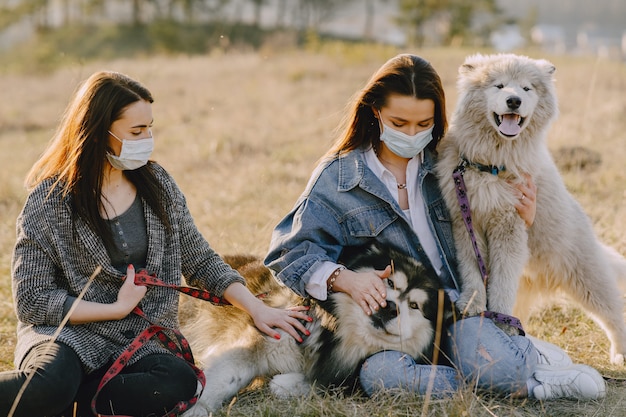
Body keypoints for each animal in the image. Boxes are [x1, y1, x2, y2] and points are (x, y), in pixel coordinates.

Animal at [180, 240, 454, 412]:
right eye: (389, 281)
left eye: (415, 306)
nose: (389, 307)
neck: (338, 337)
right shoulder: (271, 332)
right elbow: (224, 378)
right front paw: (196, 408)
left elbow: (319, 385)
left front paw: (286, 383)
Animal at [434, 52, 624, 364]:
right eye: (499, 86)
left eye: (526, 89)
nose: (514, 101)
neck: (492, 165)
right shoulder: (465, 223)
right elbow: (472, 271)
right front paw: (473, 304)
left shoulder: (509, 227)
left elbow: (501, 282)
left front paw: (497, 317)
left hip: (587, 278)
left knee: (613, 313)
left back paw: (619, 355)